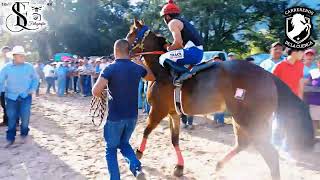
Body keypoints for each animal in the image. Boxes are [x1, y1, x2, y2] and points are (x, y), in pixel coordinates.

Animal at [125, 19, 316, 179]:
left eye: (131, 34)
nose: (124, 50)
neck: (162, 71)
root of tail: (268, 75)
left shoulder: (158, 109)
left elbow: (146, 131)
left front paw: (138, 154)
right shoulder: (174, 113)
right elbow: (174, 140)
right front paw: (179, 167)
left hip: (249, 120)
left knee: (269, 152)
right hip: (241, 118)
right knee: (243, 144)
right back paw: (219, 164)